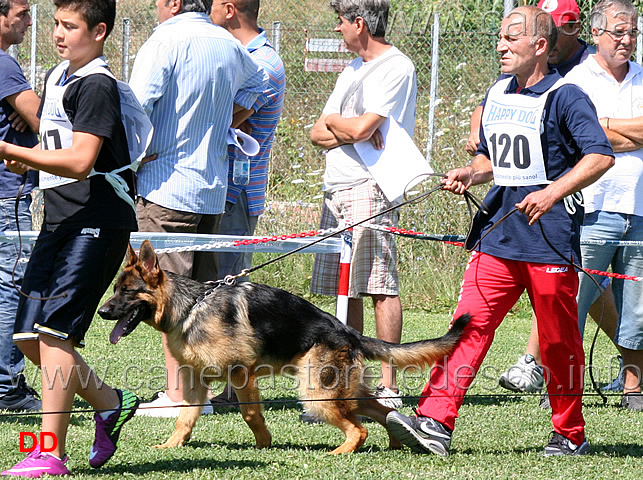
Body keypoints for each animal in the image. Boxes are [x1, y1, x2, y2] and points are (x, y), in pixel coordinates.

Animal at [102, 240, 472, 454]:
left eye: (128, 291)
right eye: (115, 289)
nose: (102, 312)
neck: (191, 306)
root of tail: (348, 331)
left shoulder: (241, 374)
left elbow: (250, 413)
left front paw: (264, 444)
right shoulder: (196, 382)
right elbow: (185, 418)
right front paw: (172, 445)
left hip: (315, 393)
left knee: (360, 428)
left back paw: (342, 452)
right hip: (345, 392)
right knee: (383, 412)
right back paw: (398, 441)